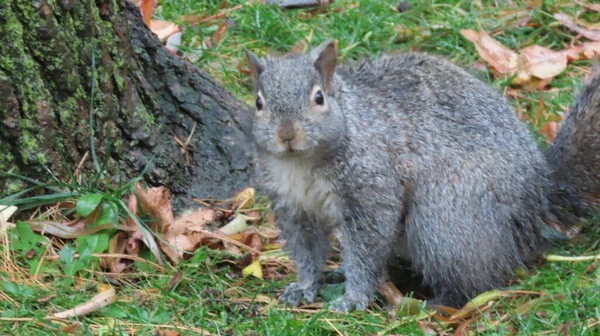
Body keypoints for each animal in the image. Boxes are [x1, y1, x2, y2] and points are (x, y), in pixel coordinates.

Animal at [243, 40, 600, 312]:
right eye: (258, 103)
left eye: (319, 98)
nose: (286, 134)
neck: (302, 164)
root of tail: (539, 191)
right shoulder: (292, 205)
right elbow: (305, 250)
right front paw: (304, 286)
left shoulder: (372, 188)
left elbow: (366, 246)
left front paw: (354, 297)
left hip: (444, 221)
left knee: (474, 280)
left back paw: (435, 303)